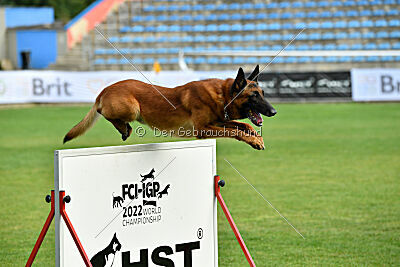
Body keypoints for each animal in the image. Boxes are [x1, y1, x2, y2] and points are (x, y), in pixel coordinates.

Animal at [63, 65, 276, 150]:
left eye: (263, 93)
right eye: (253, 96)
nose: (274, 112)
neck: (223, 95)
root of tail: (105, 89)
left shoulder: (217, 121)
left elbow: (245, 126)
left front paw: (257, 139)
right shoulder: (202, 129)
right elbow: (236, 132)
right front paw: (254, 140)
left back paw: (124, 129)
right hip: (132, 108)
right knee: (103, 112)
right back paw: (124, 128)